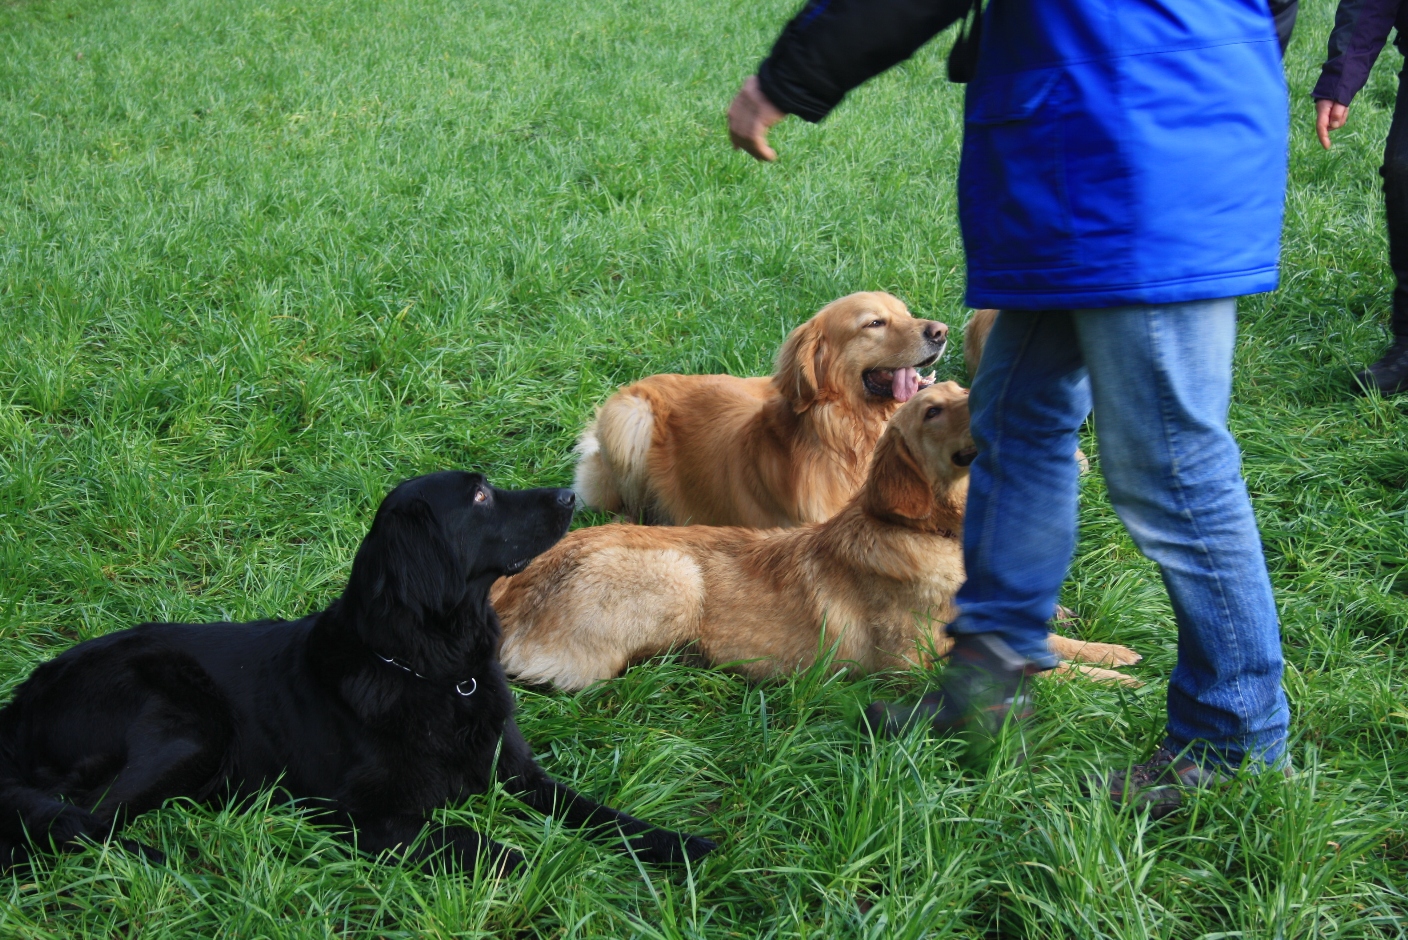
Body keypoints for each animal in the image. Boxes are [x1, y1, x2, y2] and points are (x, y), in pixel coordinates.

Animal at [0, 472, 715, 874]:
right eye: (481, 494)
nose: (570, 496)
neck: (437, 672)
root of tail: (24, 697)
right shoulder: (359, 814)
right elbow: (474, 839)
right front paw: (536, 860)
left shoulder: (517, 772)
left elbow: (599, 813)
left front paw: (678, 846)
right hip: (187, 719)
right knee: (82, 820)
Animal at [495, 385, 1140, 691]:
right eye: (931, 410)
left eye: (958, 389)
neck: (933, 533)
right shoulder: (920, 663)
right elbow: (1046, 672)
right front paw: (1117, 684)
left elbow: (1053, 645)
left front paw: (1114, 653)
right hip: (676, 574)